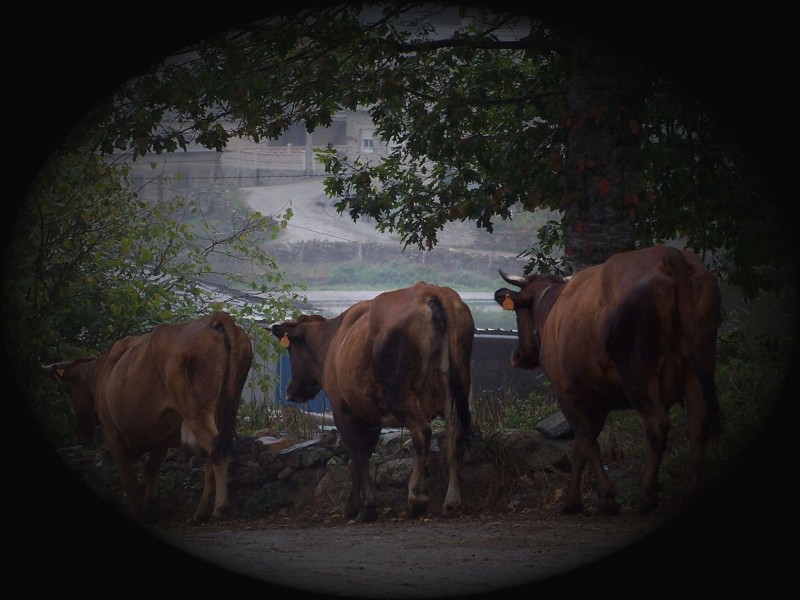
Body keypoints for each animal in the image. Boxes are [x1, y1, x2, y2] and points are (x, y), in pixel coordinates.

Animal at [42, 312, 253, 524]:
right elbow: (150, 472)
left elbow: (129, 479)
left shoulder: (113, 433)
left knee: (216, 451)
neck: (101, 373)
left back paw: (219, 509)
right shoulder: (161, 439)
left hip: (196, 412)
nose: (78, 435)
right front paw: (148, 509)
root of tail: (215, 318)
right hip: (224, 408)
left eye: (68, 390)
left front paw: (136, 513)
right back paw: (199, 514)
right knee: (214, 451)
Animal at [272, 282, 472, 520]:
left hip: (401, 395)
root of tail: (430, 290)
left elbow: (358, 458)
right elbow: (363, 457)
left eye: (290, 349)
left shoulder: (343, 411)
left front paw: (365, 507)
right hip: (457, 390)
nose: (289, 390)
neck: (333, 340)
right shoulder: (371, 417)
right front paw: (355, 505)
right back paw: (451, 502)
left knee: (422, 431)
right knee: (454, 436)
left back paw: (416, 498)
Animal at [494, 245, 724, 516]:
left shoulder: (567, 393)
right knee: (698, 426)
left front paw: (602, 498)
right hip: (699, 366)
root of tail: (668, 254)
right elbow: (580, 447)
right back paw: (691, 491)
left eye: (517, 311)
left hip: (638, 374)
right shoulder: (597, 397)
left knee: (657, 425)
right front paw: (576, 499)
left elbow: (586, 442)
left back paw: (647, 494)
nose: (517, 355)